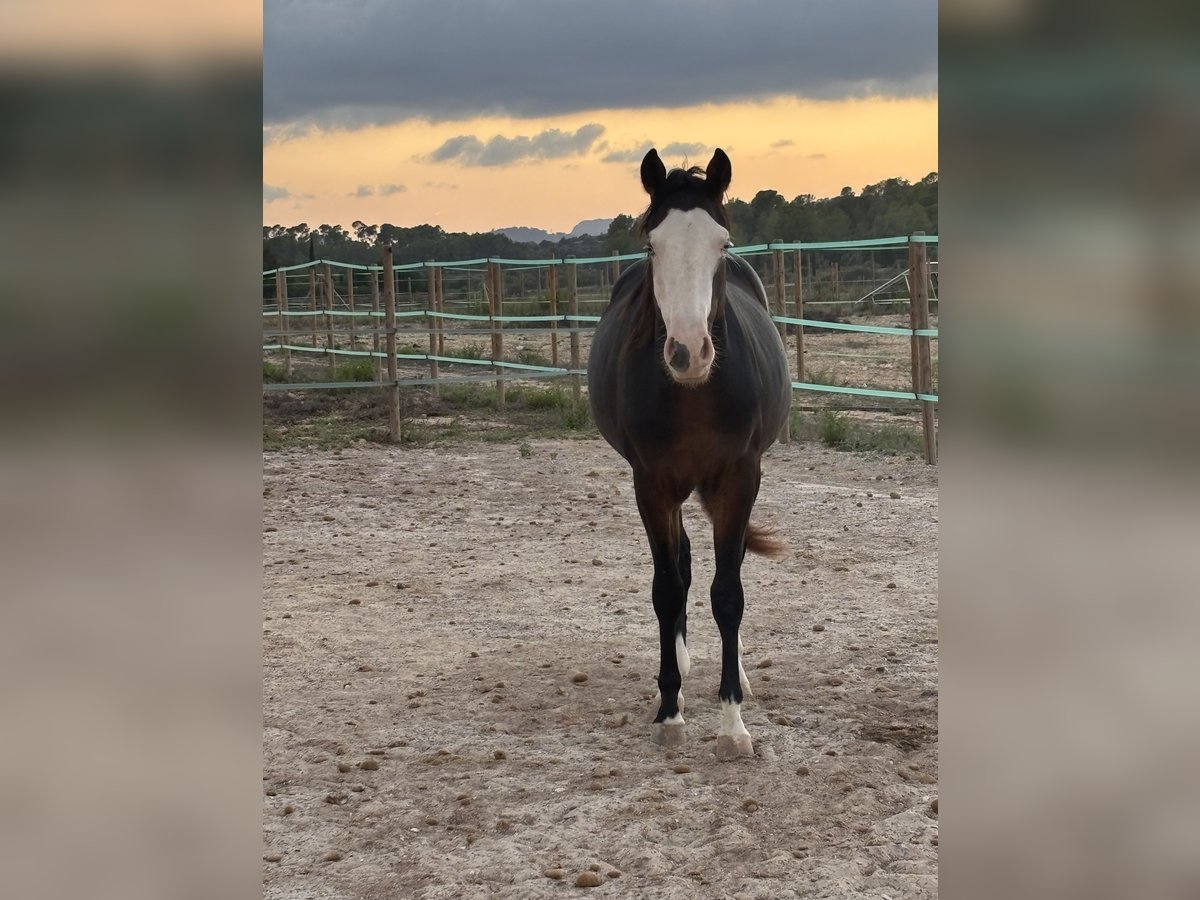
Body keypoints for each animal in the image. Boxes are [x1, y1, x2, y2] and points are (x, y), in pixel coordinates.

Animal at [587, 148, 792, 759]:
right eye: (653, 246)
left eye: (720, 244)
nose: (687, 352)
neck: (695, 394)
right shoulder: (651, 484)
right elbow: (666, 589)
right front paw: (670, 709)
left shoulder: (739, 478)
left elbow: (729, 593)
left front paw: (732, 724)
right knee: (679, 568)